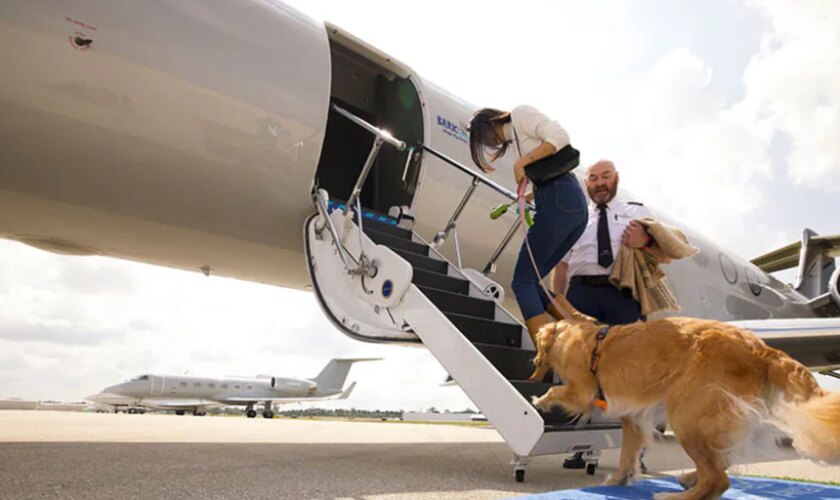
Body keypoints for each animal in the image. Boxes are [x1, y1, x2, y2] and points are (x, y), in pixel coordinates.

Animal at [532, 318, 840, 498]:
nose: (534, 363)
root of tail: (761, 349)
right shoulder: (633, 416)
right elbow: (627, 453)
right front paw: (620, 478)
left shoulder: (581, 391)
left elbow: (557, 391)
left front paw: (541, 400)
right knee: (722, 462)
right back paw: (690, 479)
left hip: (686, 417)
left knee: (718, 479)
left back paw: (675, 496)